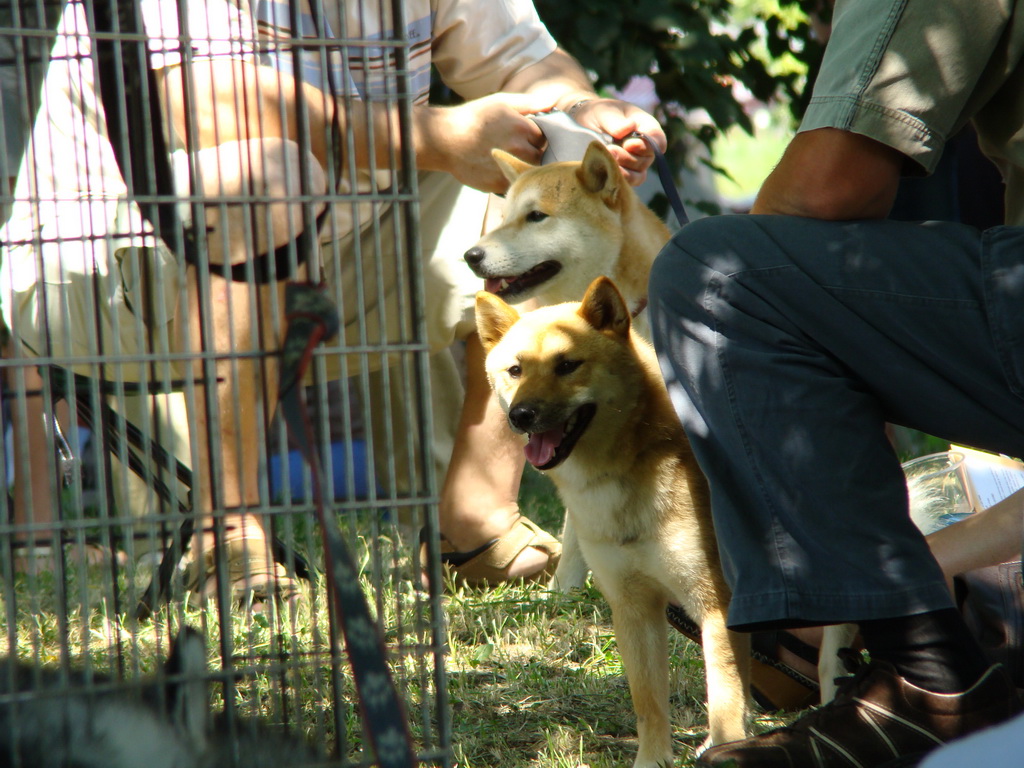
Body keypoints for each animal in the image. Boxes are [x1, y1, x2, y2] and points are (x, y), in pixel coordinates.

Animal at [477, 276, 753, 765]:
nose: (521, 416)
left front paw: (726, 748)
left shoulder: (715, 605)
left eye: (568, 365)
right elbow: (648, 704)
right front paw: (654, 759)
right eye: (515, 370)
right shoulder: (633, 608)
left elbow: (723, 701)